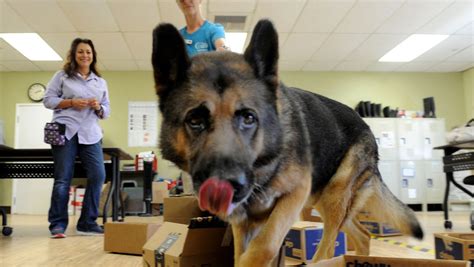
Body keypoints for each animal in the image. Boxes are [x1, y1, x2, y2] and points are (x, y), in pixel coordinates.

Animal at [151, 19, 422, 266]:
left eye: (249, 118)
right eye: (195, 120)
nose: (225, 185)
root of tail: (365, 125)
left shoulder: (294, 196)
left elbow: (264, 247)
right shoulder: (242, 221)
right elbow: (241, 254)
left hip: (331, 198)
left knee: (329, 245)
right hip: (322, 201)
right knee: (363, 234)